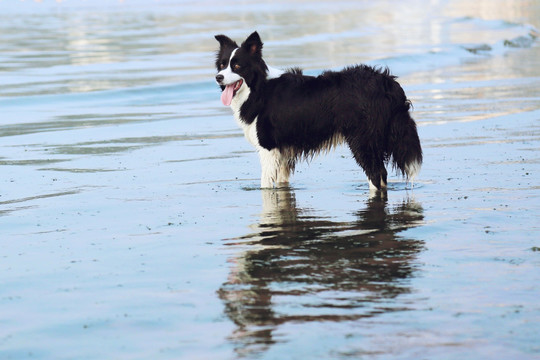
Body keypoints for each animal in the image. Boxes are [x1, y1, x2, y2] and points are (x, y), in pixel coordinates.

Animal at [215, 31, 422, 190]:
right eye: (222, 65)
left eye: (237, 66)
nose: (218, 77)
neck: (258, 88)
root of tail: (386, 81)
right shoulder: (283, 152)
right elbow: (281, 182)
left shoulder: (268, 148)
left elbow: (265, 184)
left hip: (362, 139)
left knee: (376, 174)